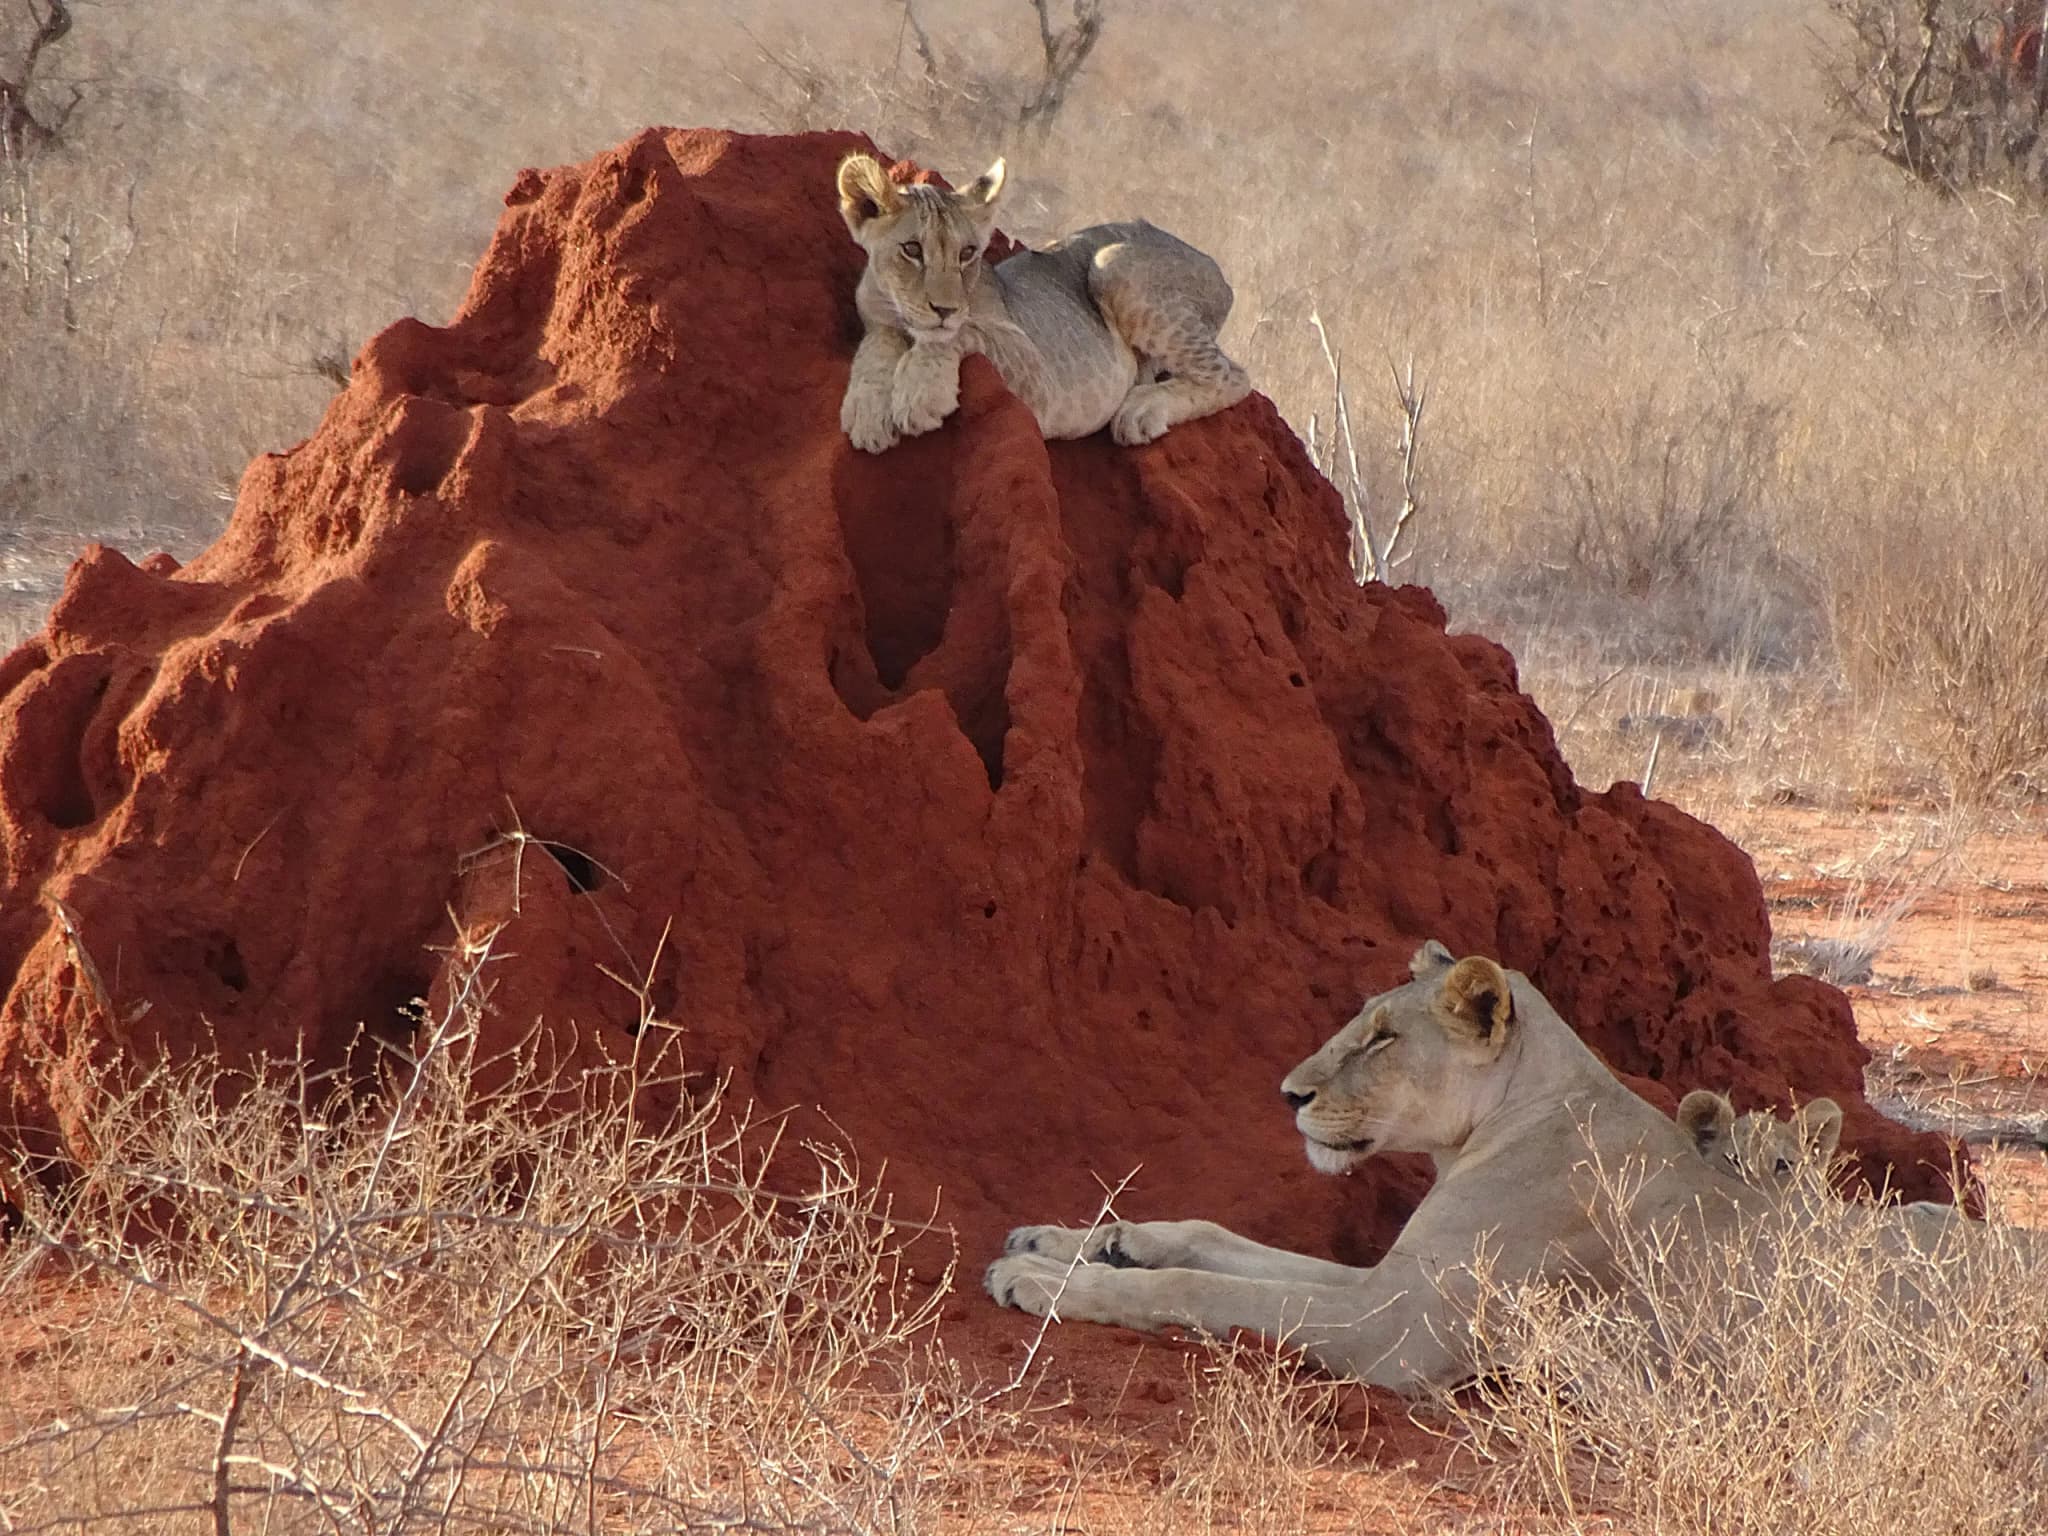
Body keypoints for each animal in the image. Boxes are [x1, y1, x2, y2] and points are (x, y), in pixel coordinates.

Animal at [834, 152, 1250, 453]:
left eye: (967, 253)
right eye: (912, 250)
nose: (945, 309)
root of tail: (1222, 275)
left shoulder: (1037, 373)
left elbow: (960, 333)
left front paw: (920, 394)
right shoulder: (875, 318)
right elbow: (877, 347)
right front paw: (868, 413)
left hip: (1113, 264)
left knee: (1233, 376)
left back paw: (1142, 409)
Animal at [984, 941, 1772, 1392]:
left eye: (1383, 1039)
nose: (1288, 1094)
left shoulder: (1395, 1328)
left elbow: (1201, 1287)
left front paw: (1037, 1279)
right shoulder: (1392, 1278)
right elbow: (1217, 1241)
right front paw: (1077, 1240)